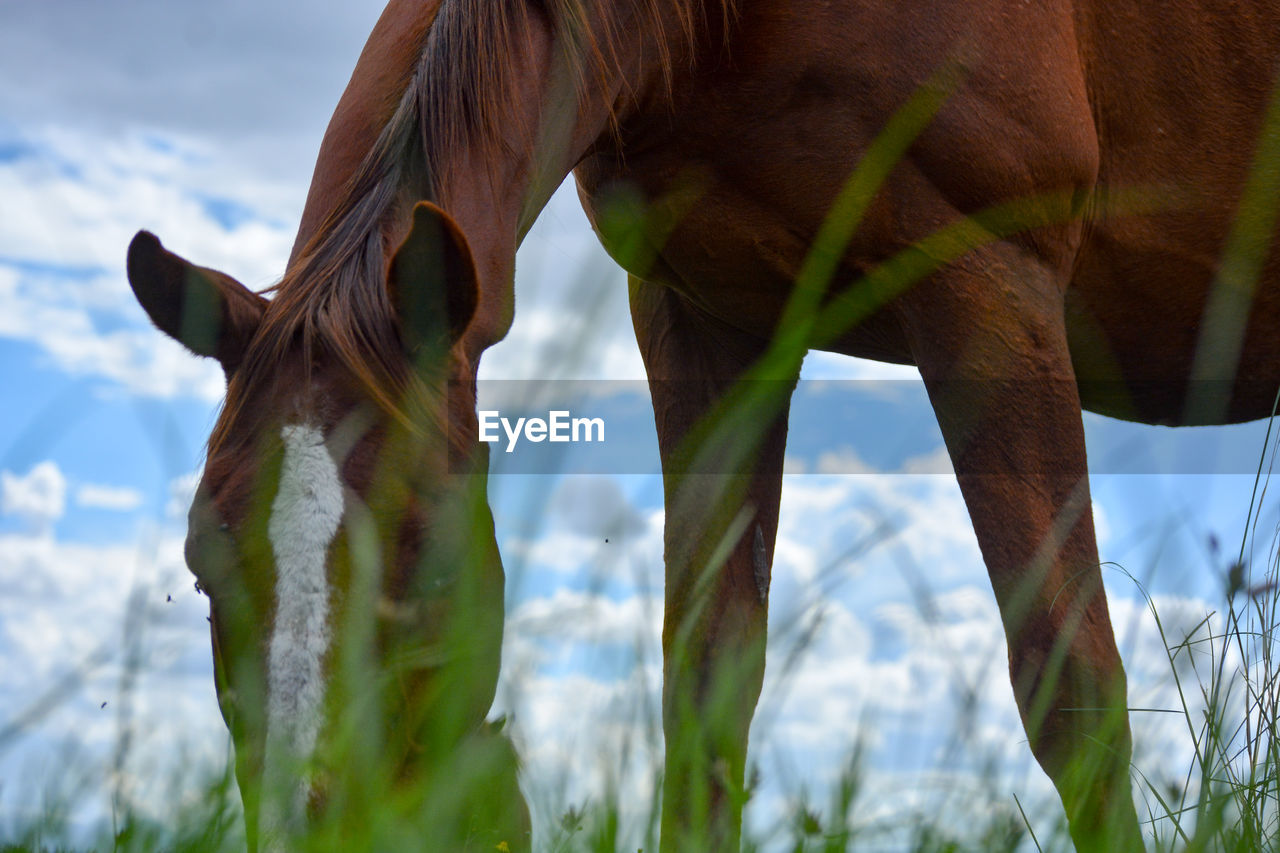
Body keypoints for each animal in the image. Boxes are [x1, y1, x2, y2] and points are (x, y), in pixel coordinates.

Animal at [127, 0, 1280, 845]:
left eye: (427, 558)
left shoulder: (990, 286)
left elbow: (1071, 689)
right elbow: (706, 690)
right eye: (201, 569)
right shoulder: (706, 320)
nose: (313, 823)